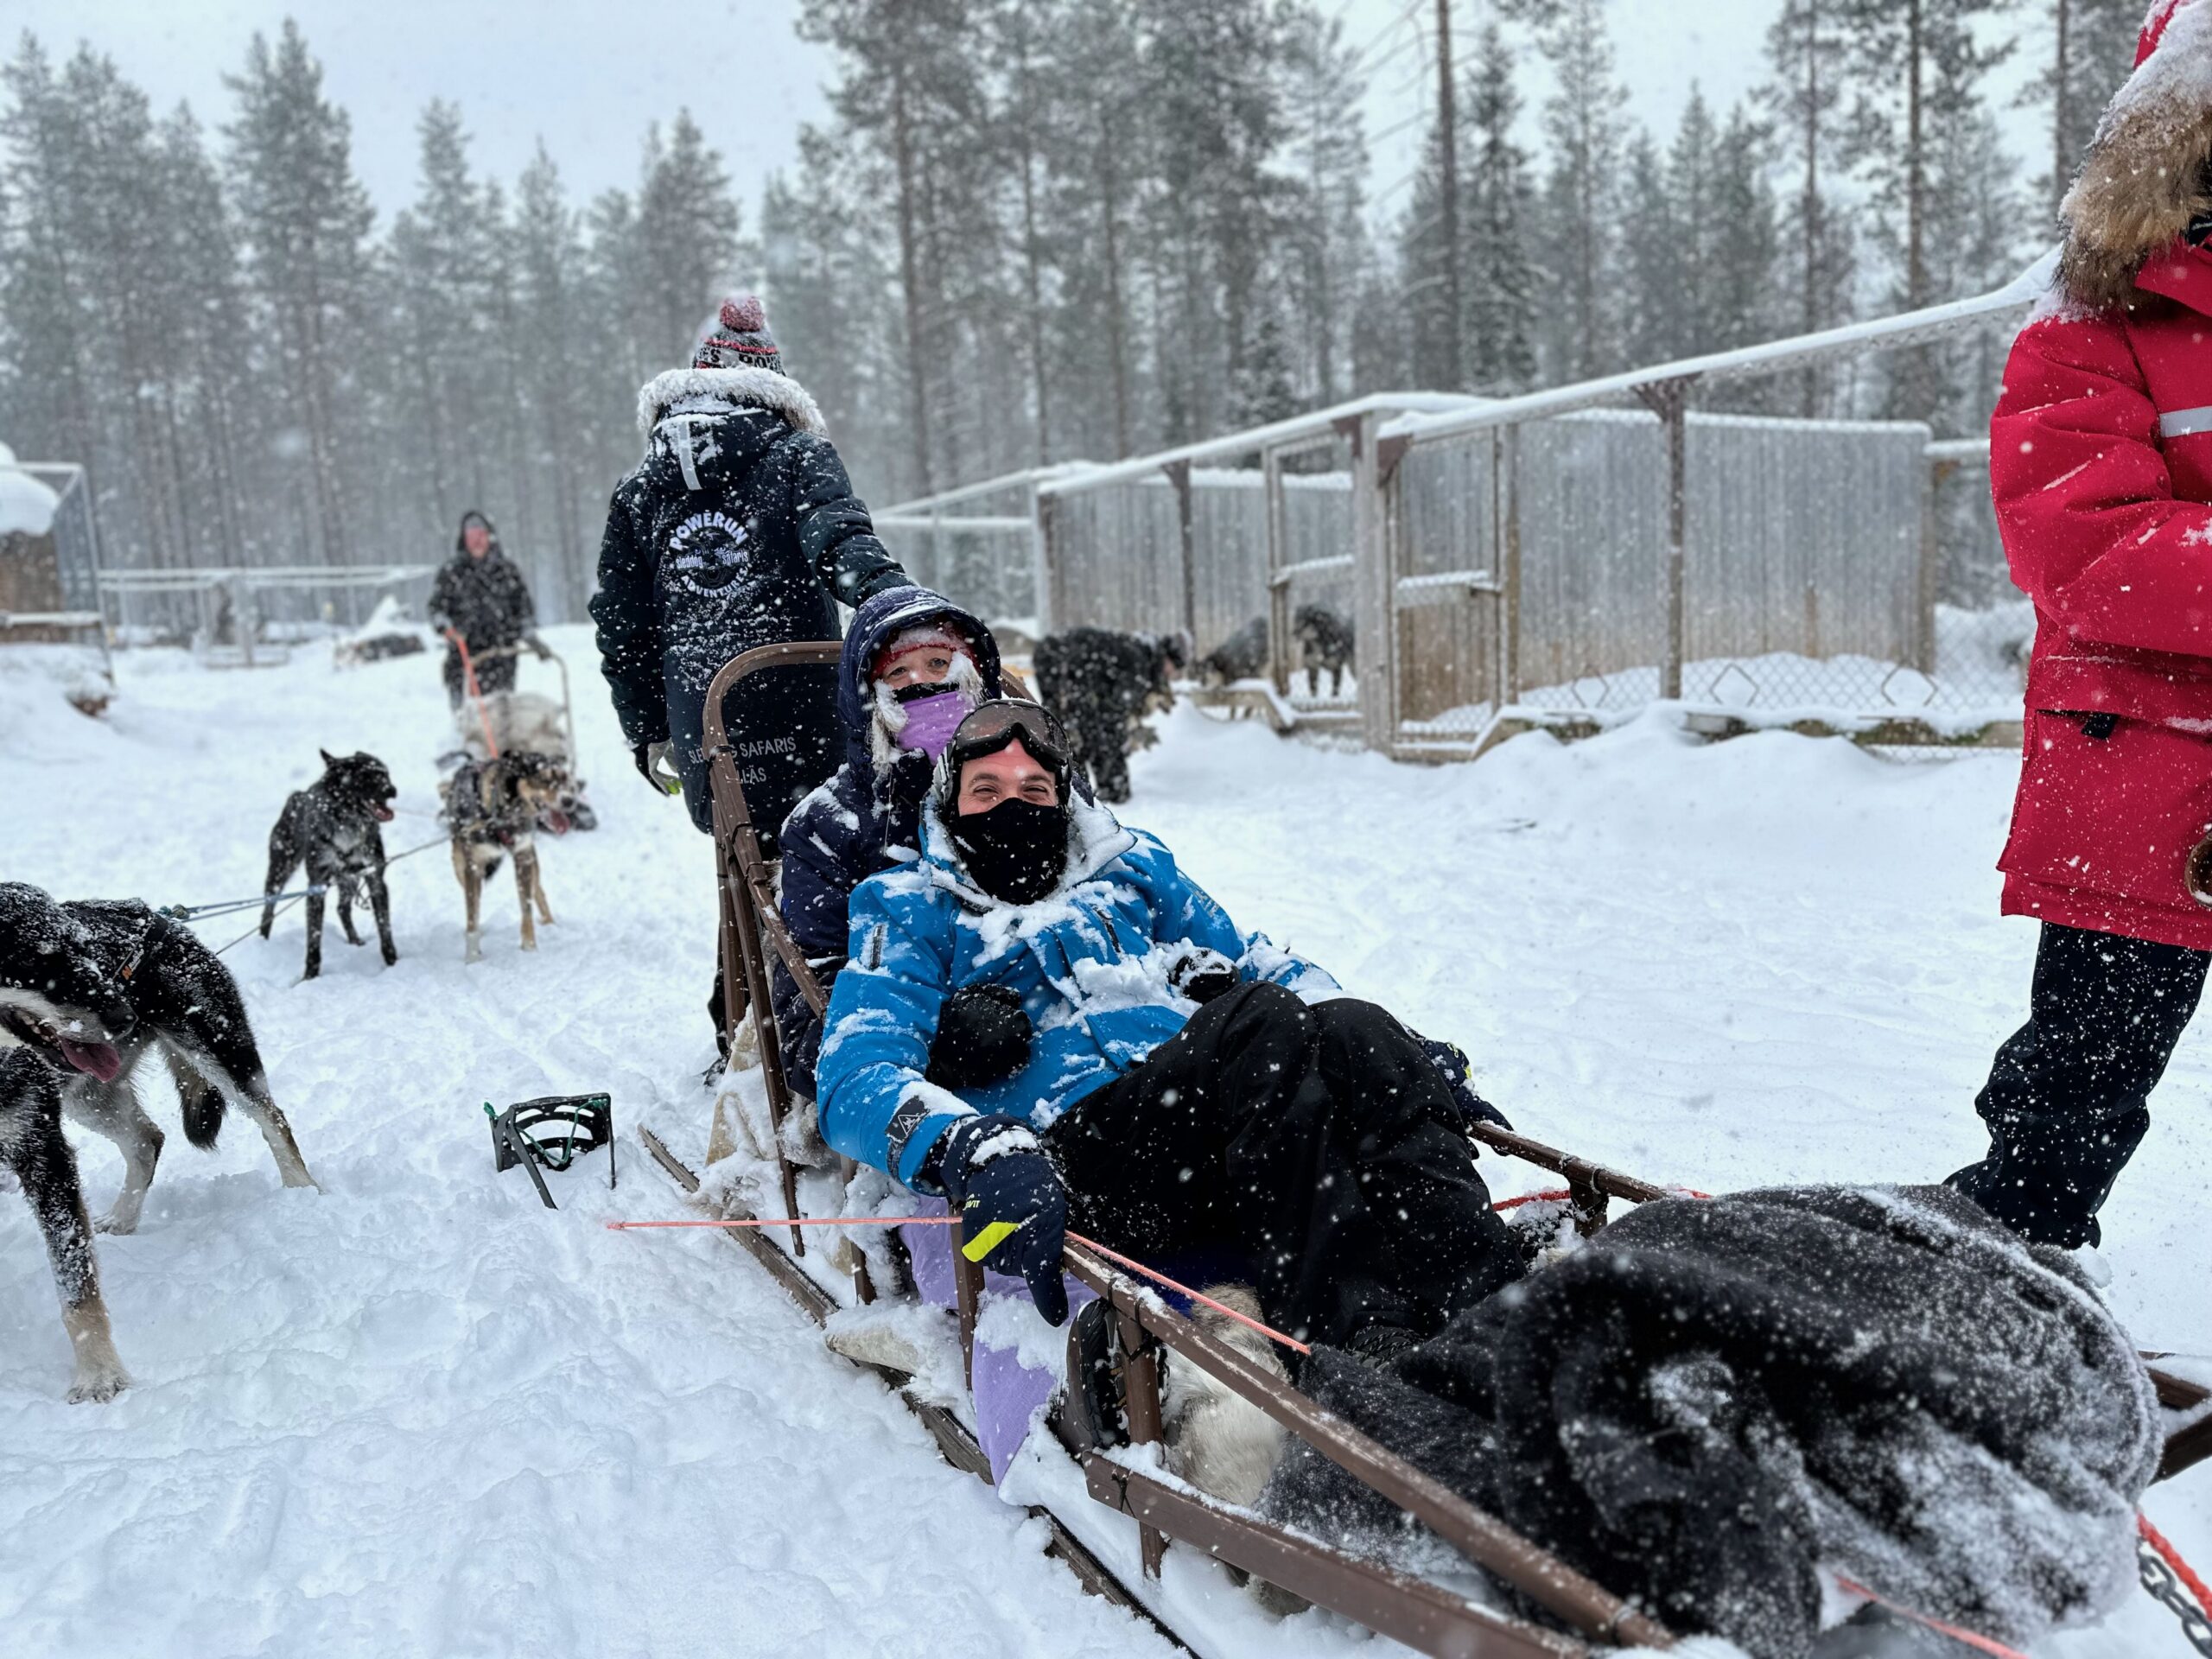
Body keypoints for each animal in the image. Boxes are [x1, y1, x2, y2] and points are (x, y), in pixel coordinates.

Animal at [0, 882, 135, 1401]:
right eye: (37, 961)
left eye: (83, 949)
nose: (126, 1015)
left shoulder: (44, 1156)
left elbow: (77, 1284)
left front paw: (99, 1372)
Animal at [55, 899, 317, 1236]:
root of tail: (158, 917)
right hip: (88, 1094)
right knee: (147, 1141)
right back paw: (122, 1219)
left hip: (217, 1054)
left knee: (273, 1120)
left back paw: (302, 1191)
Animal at [259, 749, 399, 979]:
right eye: (365, 777)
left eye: (385, 774)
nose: (392, 790)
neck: (349, 825)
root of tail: (299, 795)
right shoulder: (316, 885)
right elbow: (314, 938)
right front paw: (310, 976)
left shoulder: (375, 878)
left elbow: (384, 928)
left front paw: (393, 962)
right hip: (280, 870)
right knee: (268, 908)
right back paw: (262, 940)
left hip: (351, 878)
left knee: (342, 908)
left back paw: (354, 940)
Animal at [439, 750, 569, 963]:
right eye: (543, 779)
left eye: (564, 778)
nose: (570, 801)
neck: (502, 814)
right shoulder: (473, 866)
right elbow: (472, 916)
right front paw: (473, 958)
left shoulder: (523, 856)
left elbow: (526, 908)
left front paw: (530, 949)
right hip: (459, 865)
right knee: (474, 901)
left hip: (531, 862)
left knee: (538, 890)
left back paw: (550, 924)